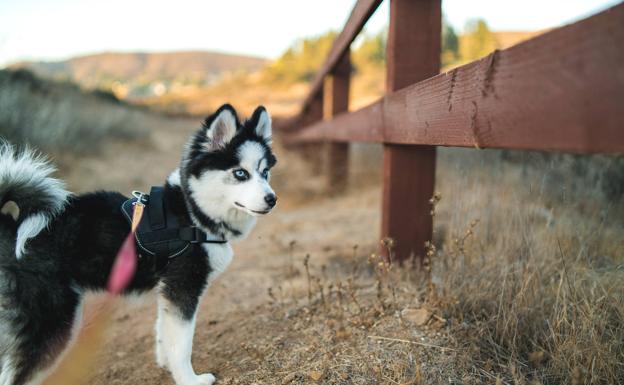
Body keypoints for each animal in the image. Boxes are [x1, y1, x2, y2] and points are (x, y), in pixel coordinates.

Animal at [0, 103, 276, 384]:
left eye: (265, 172)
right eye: (240, 173)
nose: (272, 199)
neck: (192, 211)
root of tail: (11, 226)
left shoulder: (168, 291)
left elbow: (164, 333)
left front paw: (167, 365)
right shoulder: (183, 288)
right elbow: (182, 345)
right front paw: (189, 379)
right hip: (53, 320)